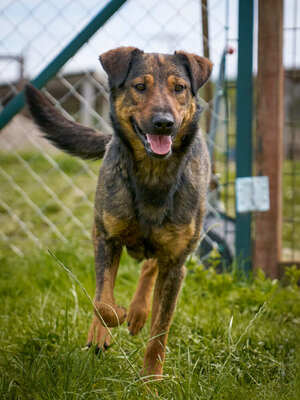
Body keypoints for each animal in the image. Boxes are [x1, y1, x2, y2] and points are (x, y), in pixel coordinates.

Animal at [25, 47, 213, 378]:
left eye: (179, 88)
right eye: (140, 86)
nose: (164, 123)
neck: (152, 175)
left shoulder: (176, 263)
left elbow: (159, 333)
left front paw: (151, 381)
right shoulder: (106, 237)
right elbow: (103, 302)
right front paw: (108, 325)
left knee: (149, 267)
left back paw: (139, 311)